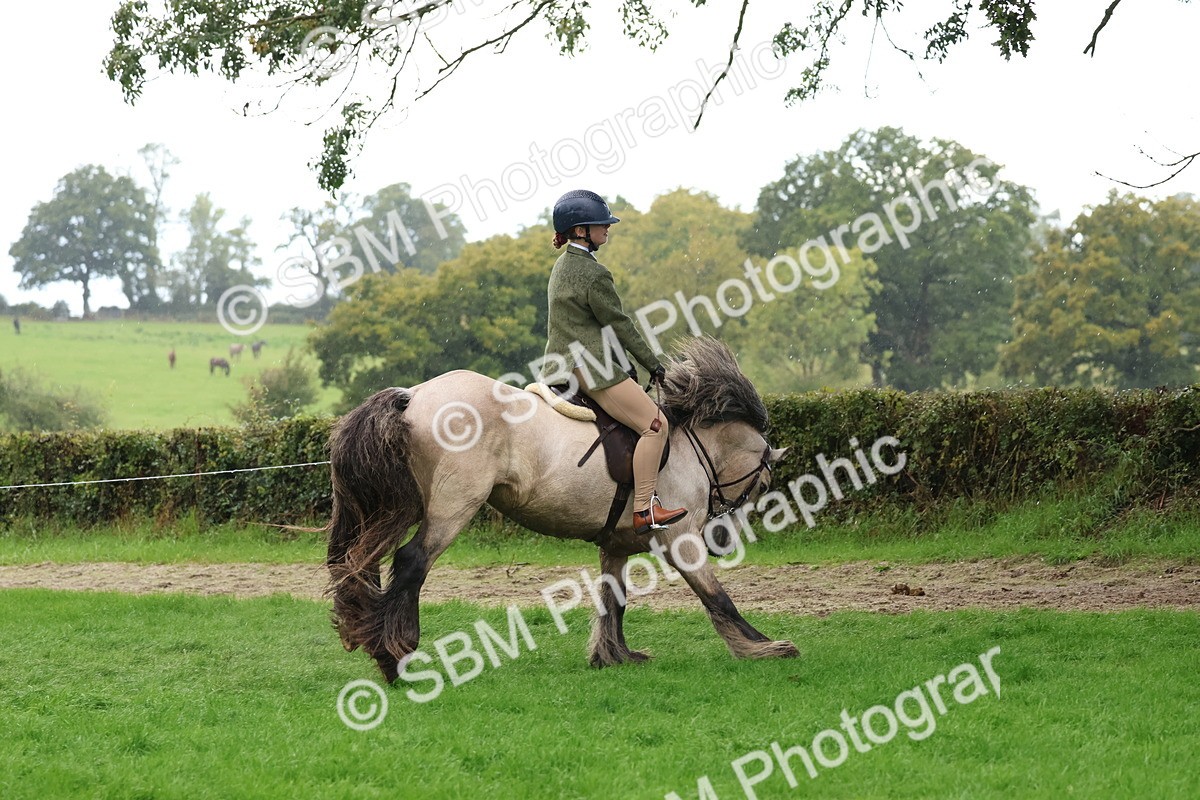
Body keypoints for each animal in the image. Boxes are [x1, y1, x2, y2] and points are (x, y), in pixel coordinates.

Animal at [326, 337, 793, 683]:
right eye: (761, 485)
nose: (723, 542)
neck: (687, 445)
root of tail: (413, 395)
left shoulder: (616, 544)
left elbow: (614, 599)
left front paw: (613, 656)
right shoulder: (680, 541)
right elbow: (717, 597)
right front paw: (765, 647)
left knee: (365, 561)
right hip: (454, 506)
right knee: (411, 563)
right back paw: (394, 662)